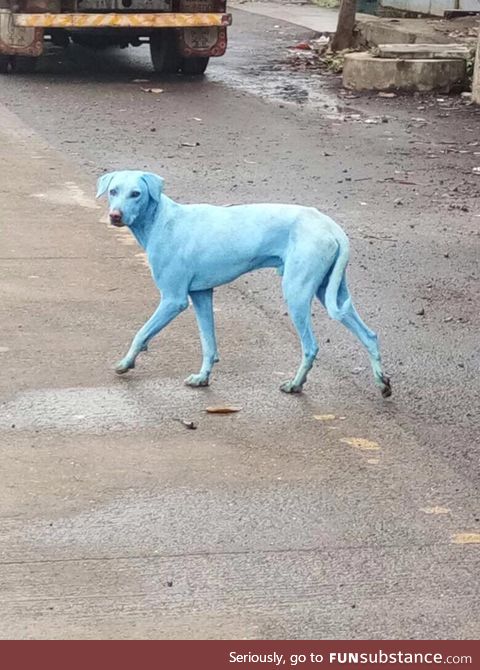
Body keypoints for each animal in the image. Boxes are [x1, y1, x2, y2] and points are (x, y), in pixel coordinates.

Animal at [96, 171, 390, 400]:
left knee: (311, 346)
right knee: (369, 335)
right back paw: (382, 382)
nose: (115, 216)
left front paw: (125, 363)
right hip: (331, 291)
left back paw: (295, 384)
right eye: (113, 191)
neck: (161, 220)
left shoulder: (173, 300)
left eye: (136, 194)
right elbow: (209, 344)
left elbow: (141, 333)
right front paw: (202, 377)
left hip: (296, 293)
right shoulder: (201, 295)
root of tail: (330, 225)